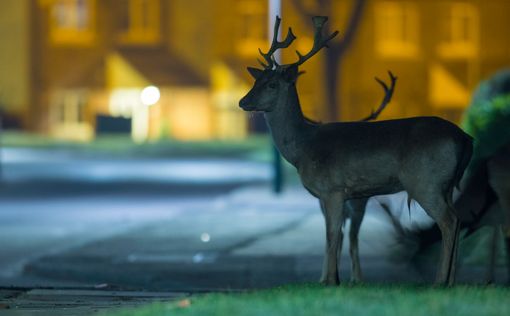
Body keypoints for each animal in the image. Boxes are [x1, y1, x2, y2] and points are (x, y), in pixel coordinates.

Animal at [239, 15, 474, 286]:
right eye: (255, 81)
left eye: (272, 84)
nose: (243, 101)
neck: (303, 148)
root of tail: (465, 138)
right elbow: (335, 235)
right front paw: (333, 279)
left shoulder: (332, 189)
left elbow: (332, 235)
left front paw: (331, 281)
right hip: (446, 185)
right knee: (459, 218)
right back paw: (451, 281)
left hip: (425, 181)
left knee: (448, 220)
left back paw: (439, 281)